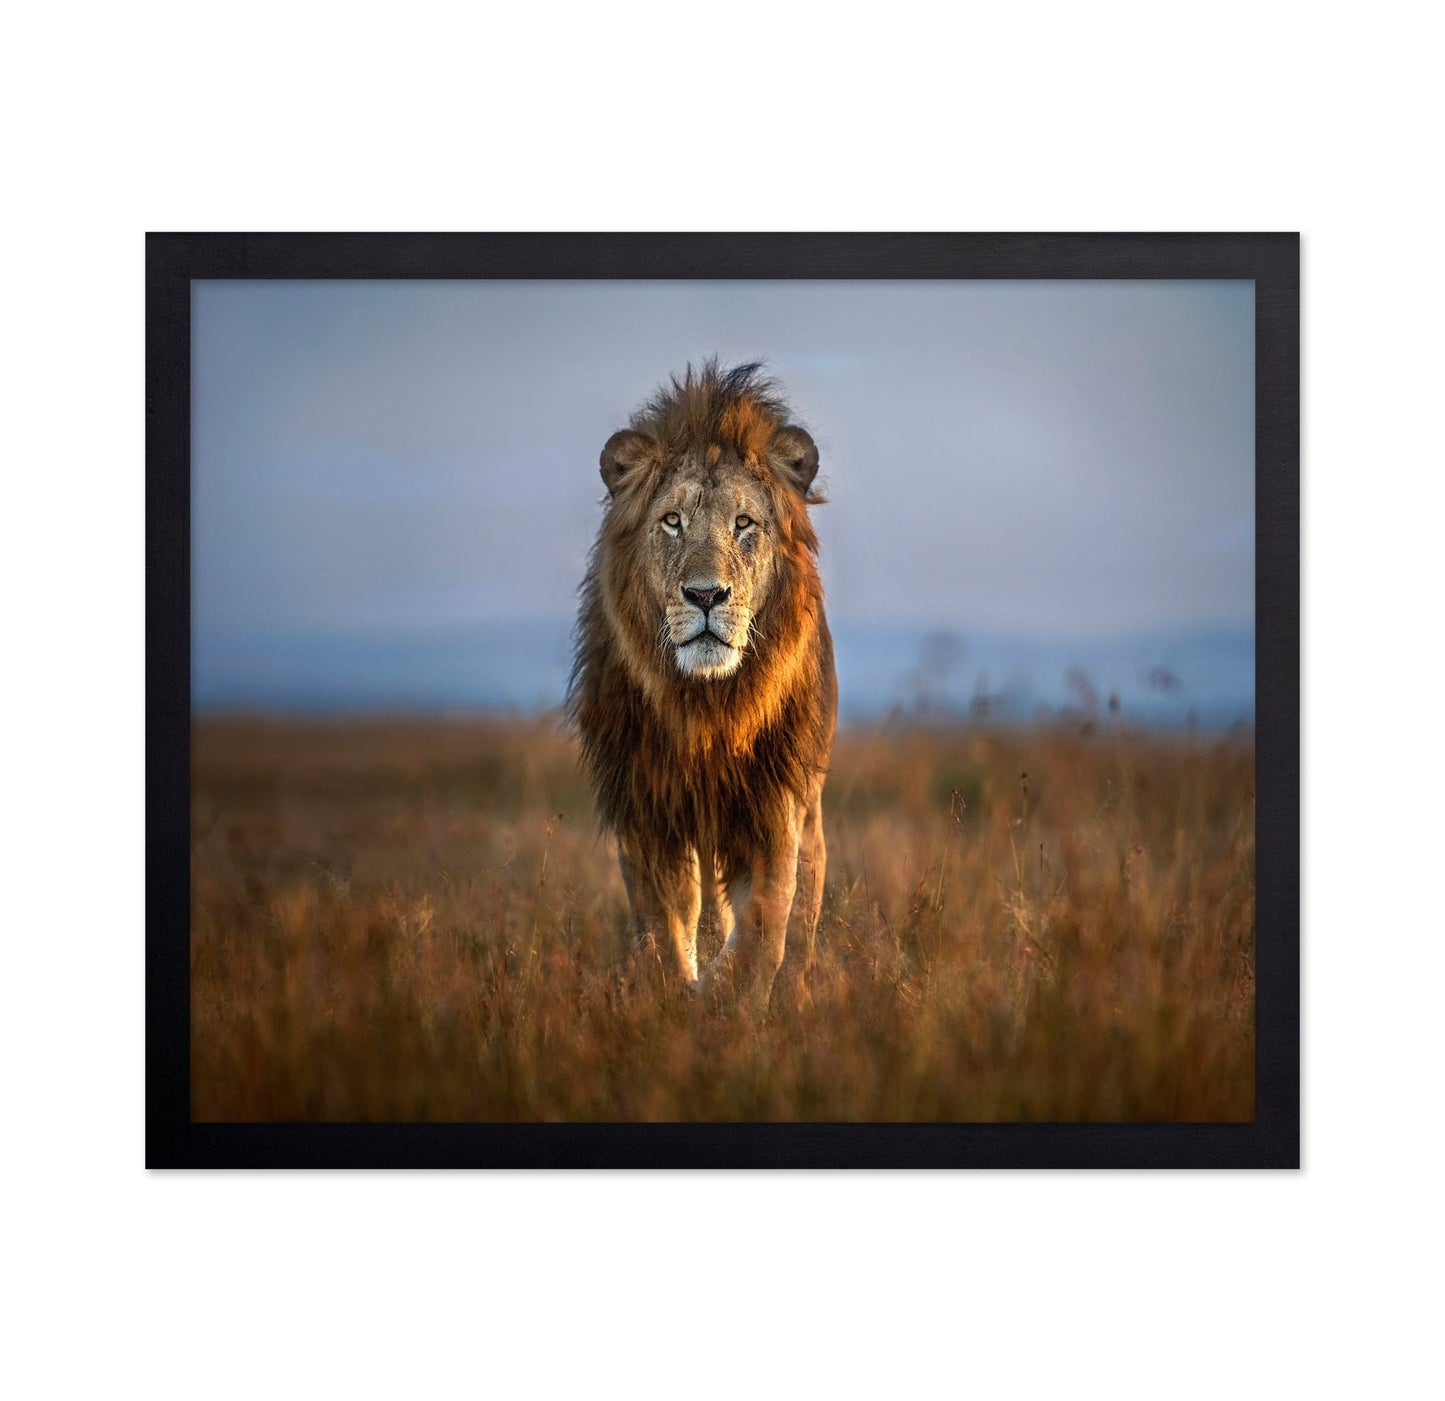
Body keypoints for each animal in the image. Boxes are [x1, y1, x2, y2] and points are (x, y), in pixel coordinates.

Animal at [568, 360, 837, 1009]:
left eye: (744, 524)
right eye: (673, 521)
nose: (707, 595)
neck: (707, 705)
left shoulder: (773, 805)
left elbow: (765, 922)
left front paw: (727, 1000)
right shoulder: (646, 808)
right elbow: (664, 925)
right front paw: (677, 996)